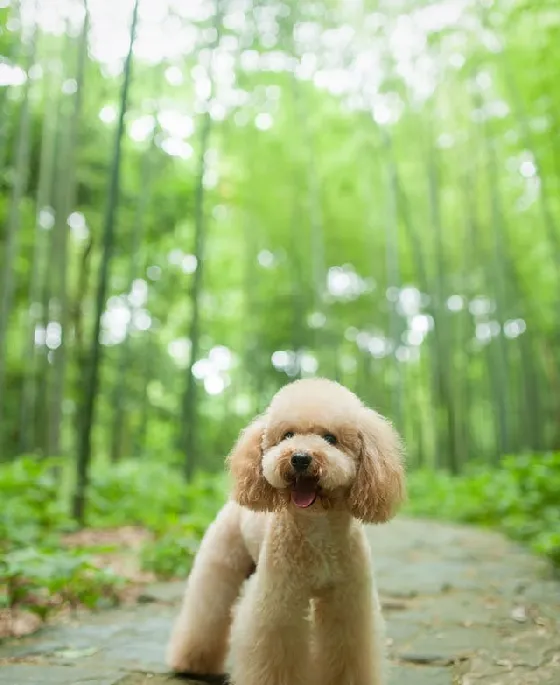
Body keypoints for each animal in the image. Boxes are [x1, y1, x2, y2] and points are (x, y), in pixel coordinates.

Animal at [165, 376, 402, 680]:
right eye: (287, 435)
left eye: (330, 438)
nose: (300, 458)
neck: (318, 530)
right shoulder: (279, 602)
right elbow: (275, 649)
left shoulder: (347, 604)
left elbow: (347, 649)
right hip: (219, 562)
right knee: (207, 611)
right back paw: (191, 663)